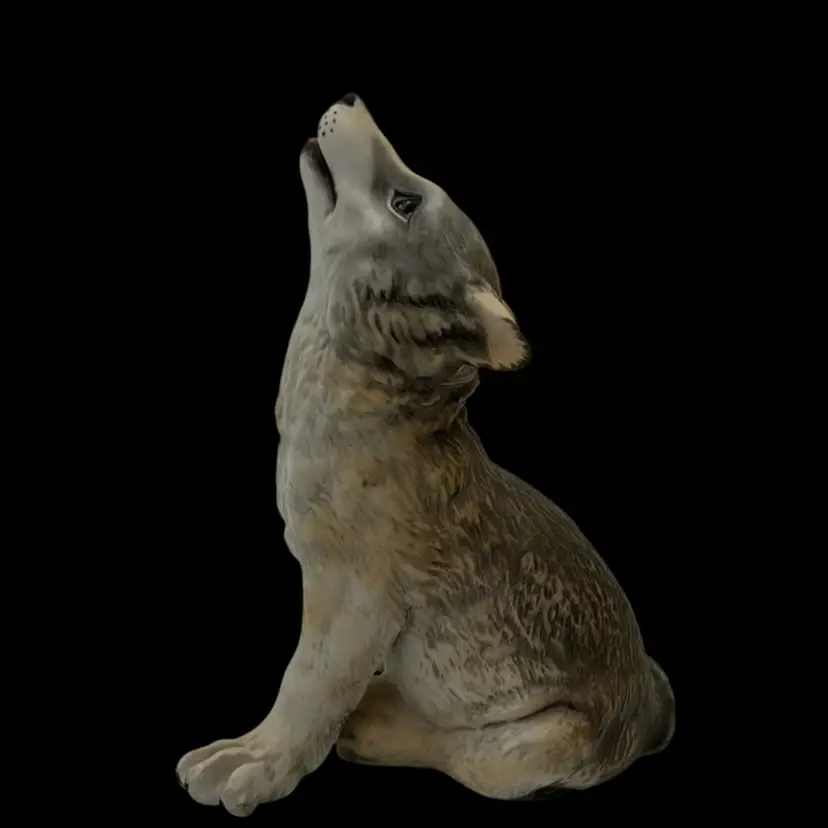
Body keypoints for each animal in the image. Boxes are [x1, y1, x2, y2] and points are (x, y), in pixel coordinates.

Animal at [176, 93, 675, 816]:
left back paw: (380, 726)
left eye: (405, 202)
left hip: (529, 747)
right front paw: (247, 753)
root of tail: (651, 708)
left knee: (462, 752)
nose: (351, 99)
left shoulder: (352, 602)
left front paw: (250, 766)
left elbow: (303, 688)